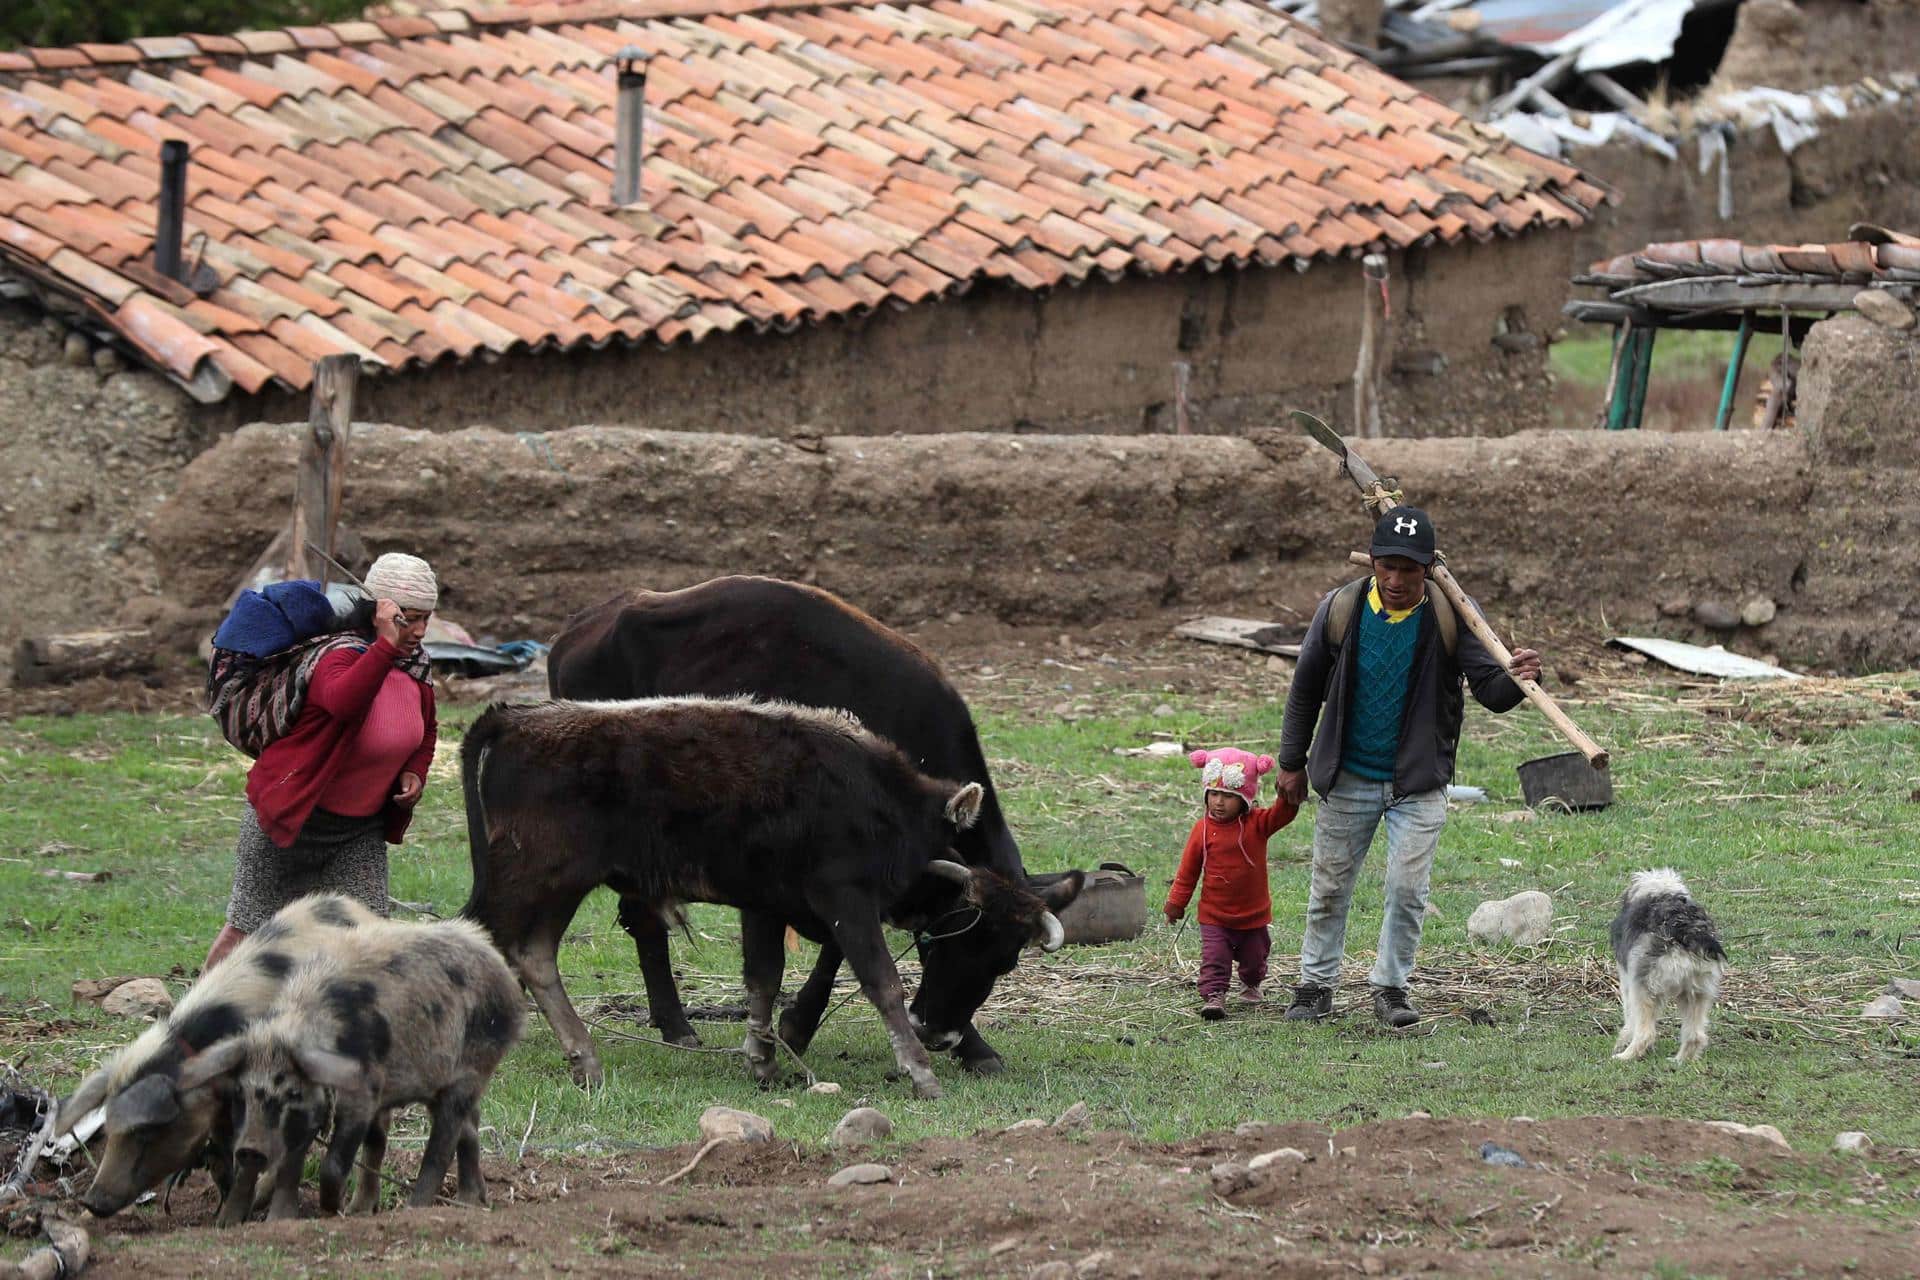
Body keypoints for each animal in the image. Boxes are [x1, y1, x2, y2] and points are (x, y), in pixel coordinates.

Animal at [453, 694, 1082, 1097]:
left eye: (1004, 961)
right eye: (944, 939)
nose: (941, 1034)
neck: (881, 800)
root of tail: (514, 720)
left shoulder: (765, 904)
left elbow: (763, 977)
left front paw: (763, 1062)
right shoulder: (845, 898)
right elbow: (880, 980)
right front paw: (921, 1073)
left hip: (558, 886)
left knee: (534, 955)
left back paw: (586, 1062)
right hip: (535, 877)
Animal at [545, 575, 1052, 1074]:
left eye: (1004, 961)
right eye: (943, 939)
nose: (938, 1033)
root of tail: (580, 629)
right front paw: (796, 1029)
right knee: (644, 919)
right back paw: (677, 1025)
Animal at [1605, 871, 1728, 1059]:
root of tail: (1687, 930)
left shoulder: (1627, 982)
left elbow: (1629, 1019)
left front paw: (1622, 1042)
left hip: (1644, 988)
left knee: (1645, 1033)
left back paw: (1625, 1056)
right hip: (1696, 991)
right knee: (1695, 1036)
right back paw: (1680, 1061)